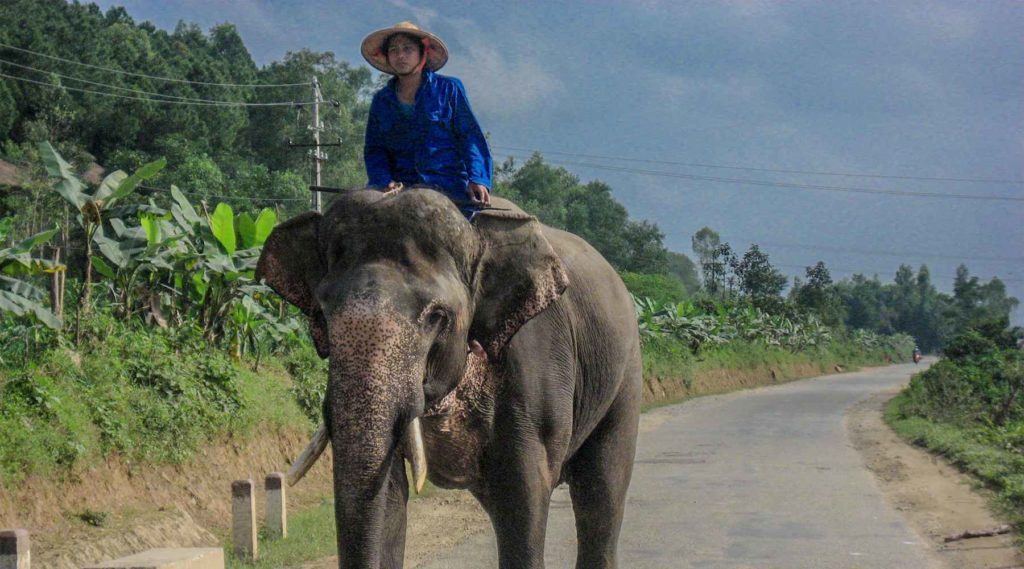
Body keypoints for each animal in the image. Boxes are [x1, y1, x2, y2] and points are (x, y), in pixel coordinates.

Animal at [257, 187, 641, 569]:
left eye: (436, 316)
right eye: (322, 313)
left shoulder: (534, 367)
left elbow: (525, 494)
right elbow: (388, 495)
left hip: (625, 379)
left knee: (601, 497)